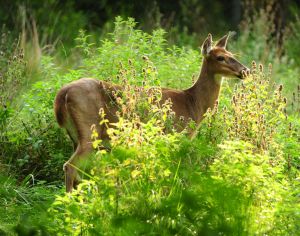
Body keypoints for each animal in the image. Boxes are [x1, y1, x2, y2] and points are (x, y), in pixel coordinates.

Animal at [54, 33, 251, 192]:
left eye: (232, 55)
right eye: (220, 58)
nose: (245, 71)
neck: (193, 103)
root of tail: (62, 94)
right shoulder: (176, 134)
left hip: (76, 136)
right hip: (90, 131)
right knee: (70, 167)